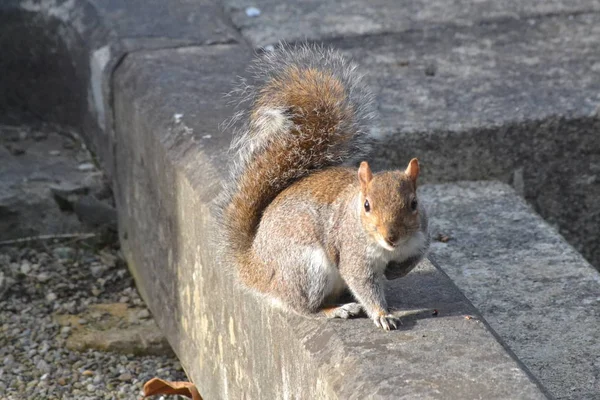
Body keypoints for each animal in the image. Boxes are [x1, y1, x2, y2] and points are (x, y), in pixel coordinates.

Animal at [218, 44, 428, 332]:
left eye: (414, 204)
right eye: (366, 206)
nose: (391, 237)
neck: (389, 249)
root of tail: (257, 267)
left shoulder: (420, 238)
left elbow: (415, 259)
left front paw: (395, 272)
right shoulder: (353, 254)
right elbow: (363, 283)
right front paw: (381, 314)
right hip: (308, 269)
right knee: (305, 307)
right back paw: (337, 310)